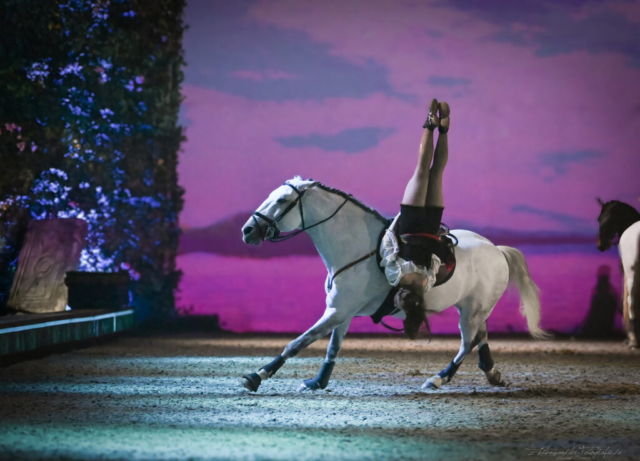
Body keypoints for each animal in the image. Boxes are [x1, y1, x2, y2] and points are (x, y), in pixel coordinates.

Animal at [241, 177, 552, 392]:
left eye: (282, 200)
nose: (248, 230)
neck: (358, 250)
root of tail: (497, 249)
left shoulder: (338, 312)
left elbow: (298, 343)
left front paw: (257, 376)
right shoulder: (342, 312)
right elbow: (332, 348)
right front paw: (318, 381)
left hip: (472, 312)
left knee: (468, 342)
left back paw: (438, 379)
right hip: (473, 308)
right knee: (480, 338)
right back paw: (490, 373)